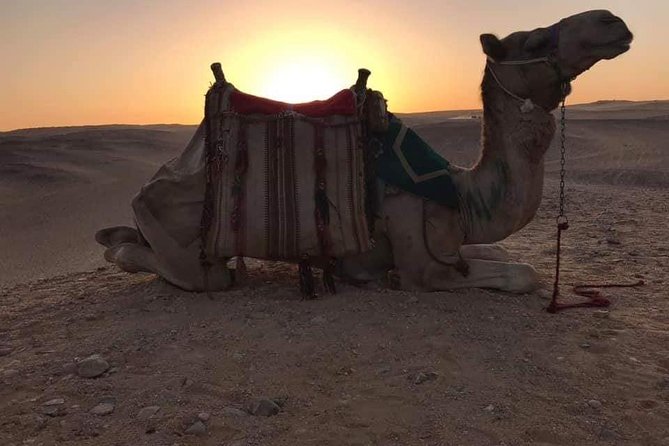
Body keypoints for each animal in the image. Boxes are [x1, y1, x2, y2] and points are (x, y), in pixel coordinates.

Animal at [97, 10, 633, 294]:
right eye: (536, 41)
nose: (613, 21)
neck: (461, 195)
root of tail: (149, 183)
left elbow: (502, 250)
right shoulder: (421, 262)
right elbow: (524, 272)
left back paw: (112, 234)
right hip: (187, 240)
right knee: (185, 268)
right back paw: (117, 245)